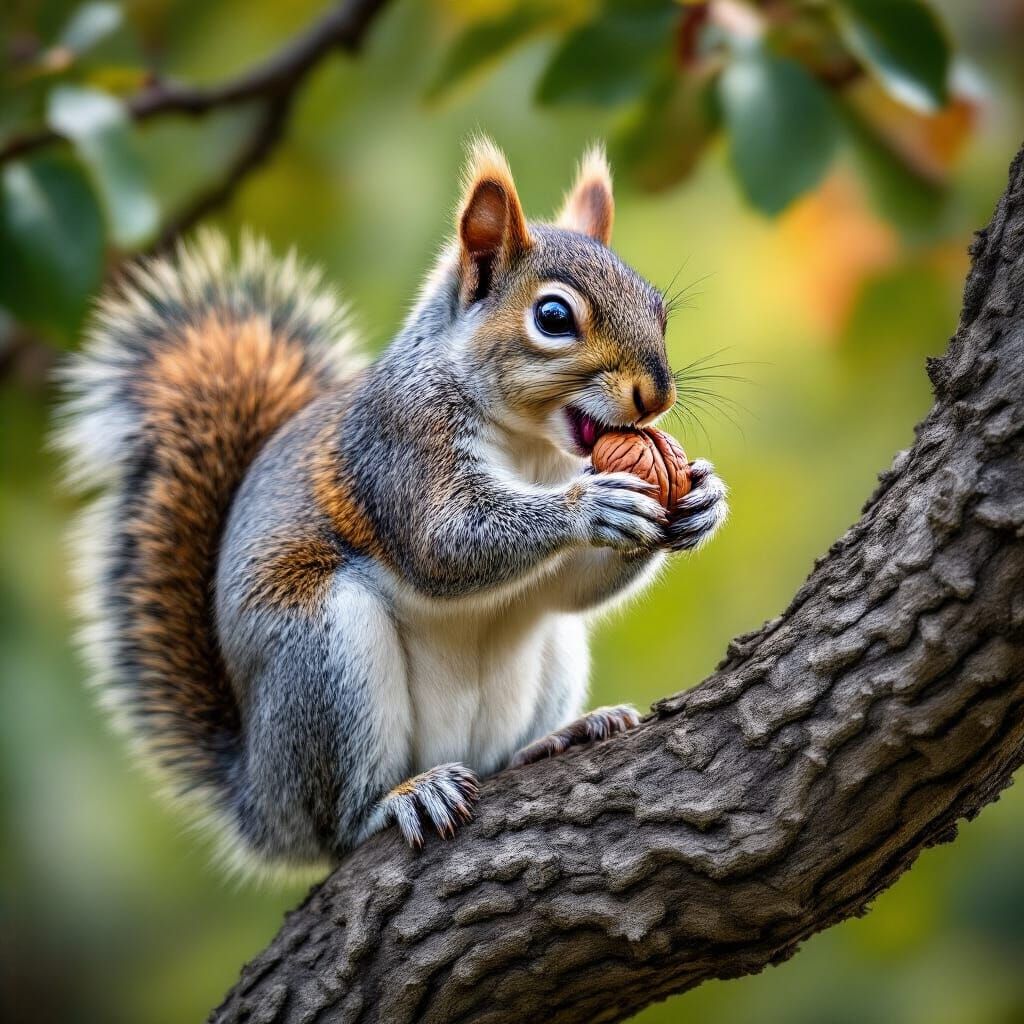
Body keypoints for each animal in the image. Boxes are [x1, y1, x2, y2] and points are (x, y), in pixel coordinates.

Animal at [57, 139, 727, 875]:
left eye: (659, 308)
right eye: (554, 318)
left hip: (548, 653)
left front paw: (702, 498)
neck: (532, 448)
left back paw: (559, 736)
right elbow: (444, 543)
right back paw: (402, 797)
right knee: (340, 824)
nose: (657, 395)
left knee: (504, 739)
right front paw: (590, 507)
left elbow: (568, 588)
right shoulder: (399, 448)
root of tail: (260, 801)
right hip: (322, 655)